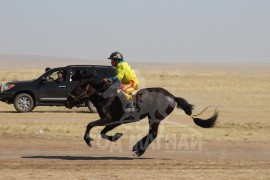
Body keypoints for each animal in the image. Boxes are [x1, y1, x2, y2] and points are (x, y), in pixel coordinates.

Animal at [65, 74, 217, 156]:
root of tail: (172, 97)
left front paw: (88, 140)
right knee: (152, 134)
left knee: (153, 134)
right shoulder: (114, 122)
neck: (106, 97)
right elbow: (103, 133)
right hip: (152, 118)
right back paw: (137, 148)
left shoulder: (109, 119)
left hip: (154, 118)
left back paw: (139, 149)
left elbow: (90, 125)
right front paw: (116, 136)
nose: (67, 102)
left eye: (77, 89)